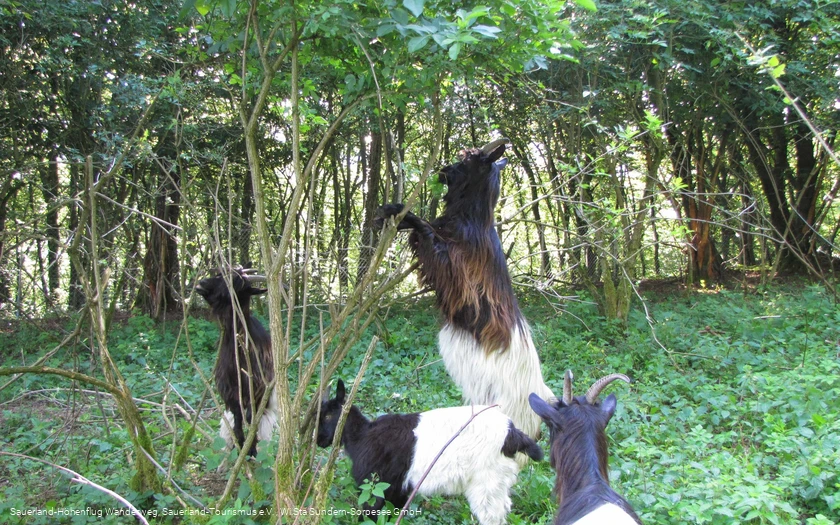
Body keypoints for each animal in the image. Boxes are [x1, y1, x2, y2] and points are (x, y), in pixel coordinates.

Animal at [195, 266, 277, 456]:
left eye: (237, 284)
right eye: (220, 274)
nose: (202, 283)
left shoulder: (258, 390)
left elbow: (251, 419)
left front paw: (251, 449)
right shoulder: (229, 391)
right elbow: (238, 419)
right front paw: (240, 446)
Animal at [317, 379, 543, 525]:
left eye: (328, 416)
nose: (319, 440)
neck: (362, 435)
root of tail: (512, 433)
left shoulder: (374, 488)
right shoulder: (398, 491)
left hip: (486, 482)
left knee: (492, 517)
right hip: (498, 483)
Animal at [378, 138, 554, 439]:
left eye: (469, 160)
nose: (443, 170)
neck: (473, 223)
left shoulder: (456, 272)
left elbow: (426, 230)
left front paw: (400, 211)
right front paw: (389, 215)